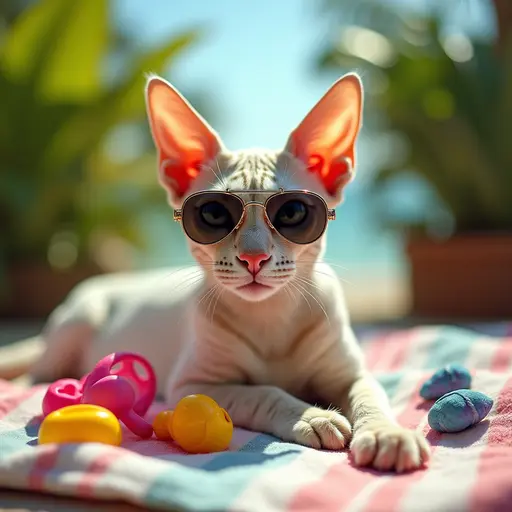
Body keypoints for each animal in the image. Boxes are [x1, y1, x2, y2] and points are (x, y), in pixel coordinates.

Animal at [5, 75, 428, 472]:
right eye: (212, 214)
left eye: (293, 213)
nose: (254, 257)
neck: (270, 318)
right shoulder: (191, 384)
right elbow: (262, 392)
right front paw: (312, 416)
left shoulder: (352, 374)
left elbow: (371, 397)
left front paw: (387, 434)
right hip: (75, 327)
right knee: (36, 373)